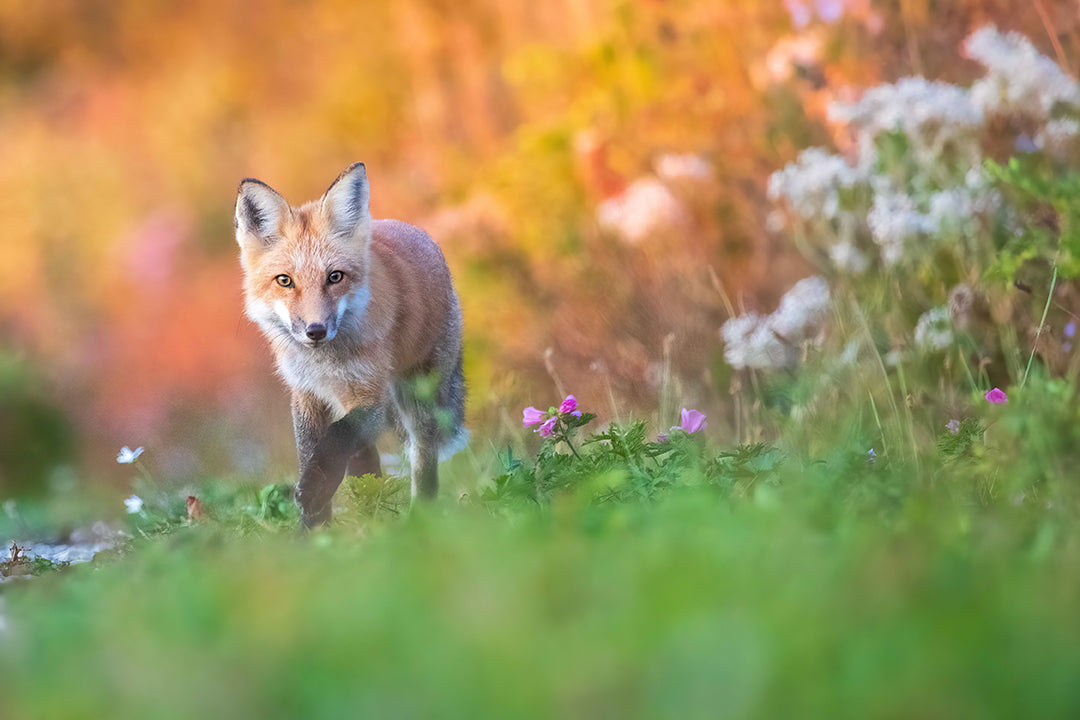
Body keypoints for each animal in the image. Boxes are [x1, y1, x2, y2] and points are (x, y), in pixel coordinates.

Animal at [234, 162, 467, 527]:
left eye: (335, 277)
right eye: (285, 281)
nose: (315, 330)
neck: (325, 364)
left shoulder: (372, 397)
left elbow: (335, 440)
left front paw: (314, 493)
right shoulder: (306, 394)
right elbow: (314, 452)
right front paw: (314, 528)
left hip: (417, 399)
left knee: (422, 462)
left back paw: (418, 520)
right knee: (364, 462)